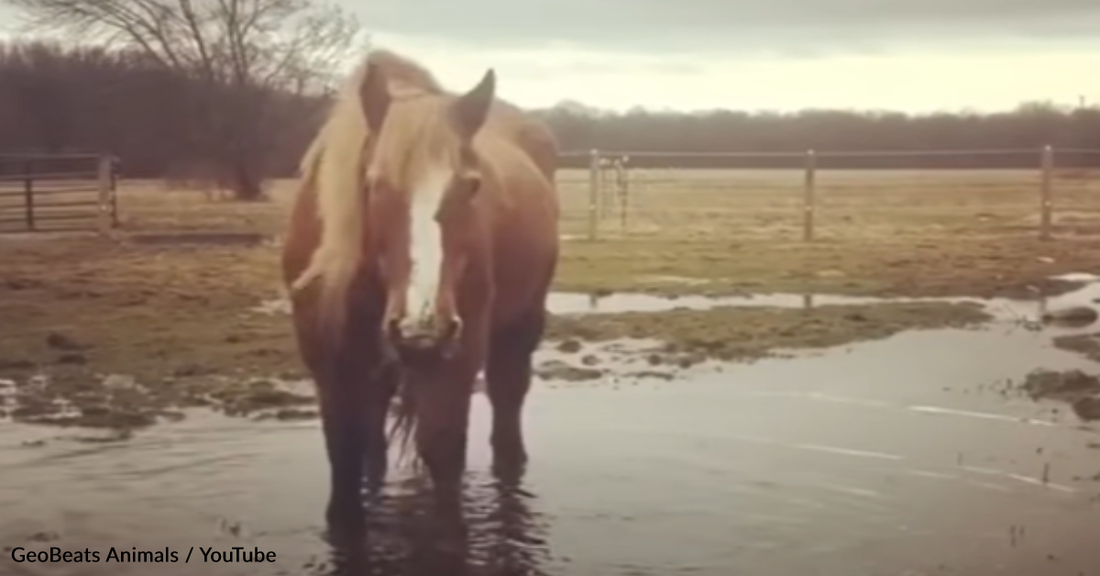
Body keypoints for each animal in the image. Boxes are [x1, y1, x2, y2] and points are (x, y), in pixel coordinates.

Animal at [279, 49, 563, 532]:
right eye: (373, 184)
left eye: (472, 185)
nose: (423, 327)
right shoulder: (329, 368)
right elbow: (345, 458)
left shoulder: (452, 363)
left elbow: (444, 456)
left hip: (518, 330)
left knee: (507, 409)